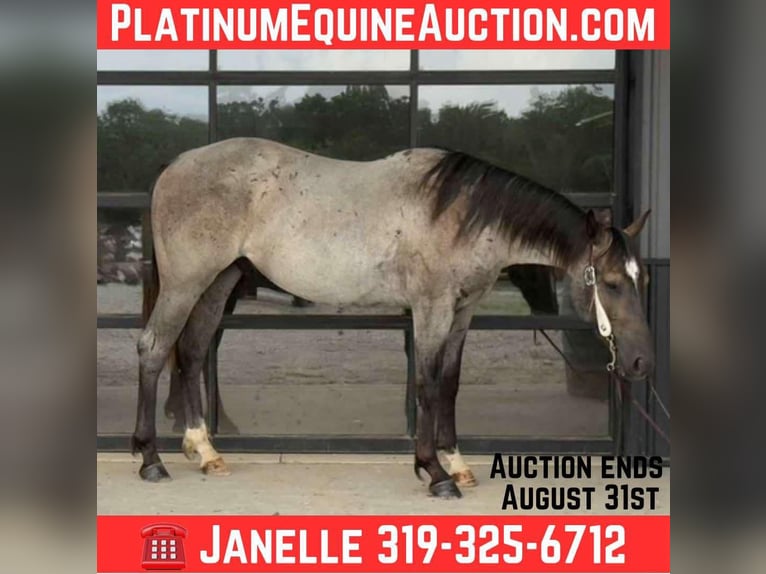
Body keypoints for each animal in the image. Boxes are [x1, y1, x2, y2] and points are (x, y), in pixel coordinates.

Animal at [135, 137, 653, 498]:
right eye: (610, 282)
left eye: (641, 277)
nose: (639, 363)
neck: (460, 215)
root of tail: (175, 166)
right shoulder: (431, 308)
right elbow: (426, 382)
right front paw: (435, 473)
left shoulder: (462, 312)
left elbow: (449, 384)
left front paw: (456, 463)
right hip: (186, 284)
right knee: (154, 349)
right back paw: (150, 460)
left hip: (218, 283)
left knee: (193, 351)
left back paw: (204, 451)